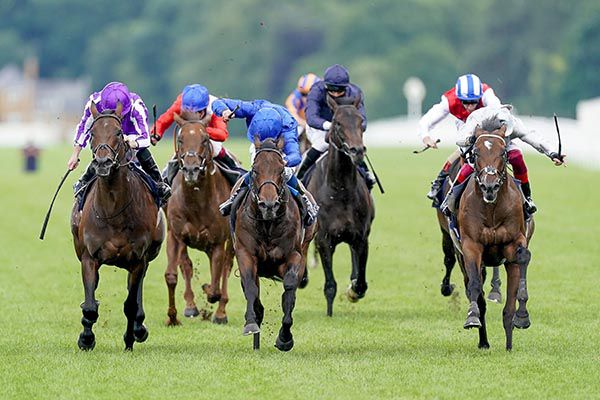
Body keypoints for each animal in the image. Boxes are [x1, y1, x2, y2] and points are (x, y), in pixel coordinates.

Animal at [69, 102, 164, 350]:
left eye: (119, 132)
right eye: (92, 133)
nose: (103, 163)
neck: (113, 211)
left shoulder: (138, 260)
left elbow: (130, 304)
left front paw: (130, 339)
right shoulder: (89, 257)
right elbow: (90, 306)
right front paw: (86, 339)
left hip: (147, 257)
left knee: (137, 290)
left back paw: (139, 328)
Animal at [163, 111, 236, 324]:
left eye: (205, 139)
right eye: (180, 139)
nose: (191, 170)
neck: (197, 202)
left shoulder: (218, 241)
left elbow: (215, 286)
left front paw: (211, 295)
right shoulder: (176, 235)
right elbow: (174, 274)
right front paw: (176, 315)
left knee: (226, 267)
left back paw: (220, 313)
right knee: (187, 265)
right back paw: (191, 306)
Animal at [232, 136, 314, 352]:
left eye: (281, 170)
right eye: (255, 169)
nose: (268, 205)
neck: (268, 224)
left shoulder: (294, 255)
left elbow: (289, 291)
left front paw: (285, 338)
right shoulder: (245, 253)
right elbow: (250, 287)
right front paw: (251, 323)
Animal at [304, 94, 376, 316]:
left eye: (361, 122)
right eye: (337, 123)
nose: (357, 151)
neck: (340, 190)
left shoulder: (361, 238)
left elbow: (361, 282)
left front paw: (353, 290)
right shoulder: (323, 240)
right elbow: (330, 285)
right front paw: (329, 313)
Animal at [454, 119, 536, 350]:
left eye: (502, 152)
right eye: (476, 152)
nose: (489, 186)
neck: (491, 208)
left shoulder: (514, 242)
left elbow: (522, 263)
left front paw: (522, 317)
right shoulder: (470, 245)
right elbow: (474, 286)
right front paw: (472, 316)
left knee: (508, 304)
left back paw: (508, 341)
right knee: (475, 289)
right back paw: (483, 340)